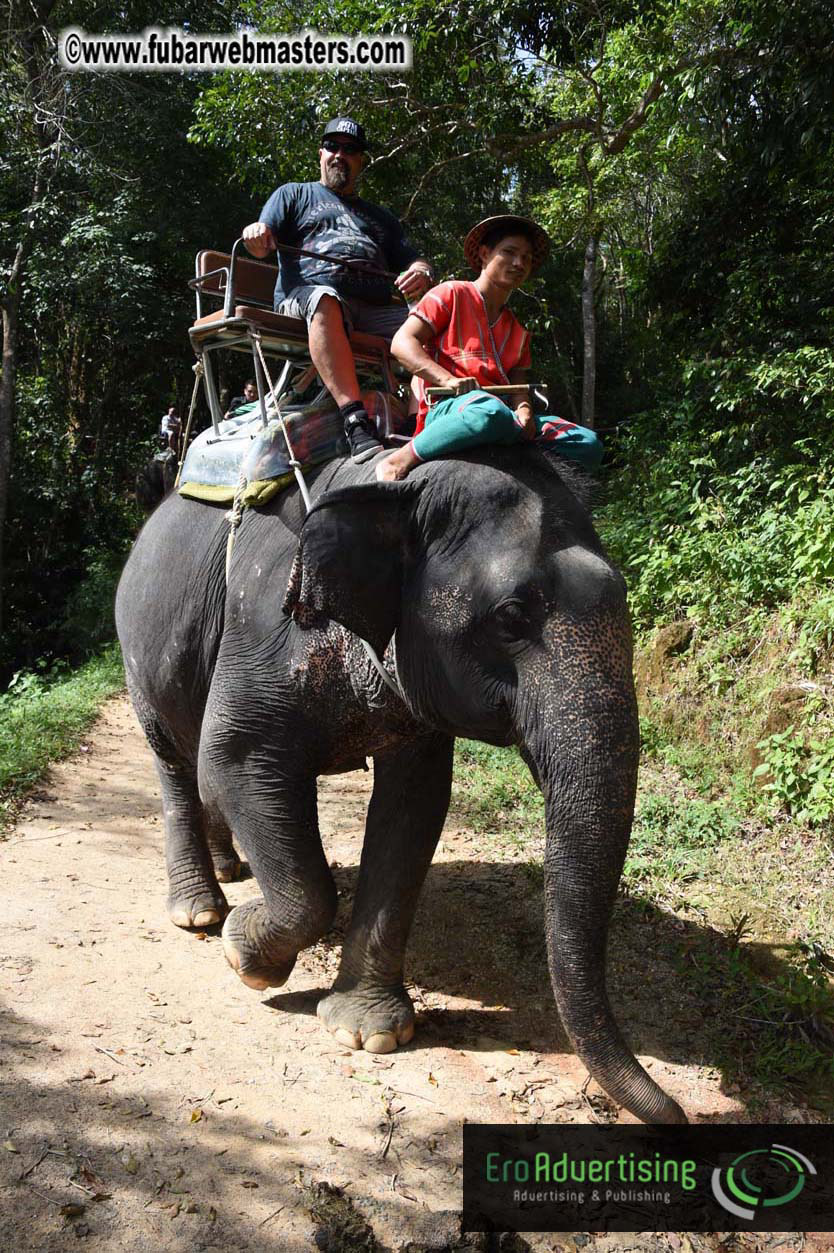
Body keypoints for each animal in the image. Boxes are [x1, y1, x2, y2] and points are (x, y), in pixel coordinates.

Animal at [115, 444, 686, 1125]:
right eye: (512, 616)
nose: (679, 1115)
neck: (394, 489)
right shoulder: (263, 631)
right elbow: (231, 764)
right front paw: (245, 956)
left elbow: (414, 807)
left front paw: (368, 1034)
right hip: (137, 655)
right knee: (176, 764)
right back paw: (201, 913)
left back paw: (232, 872)